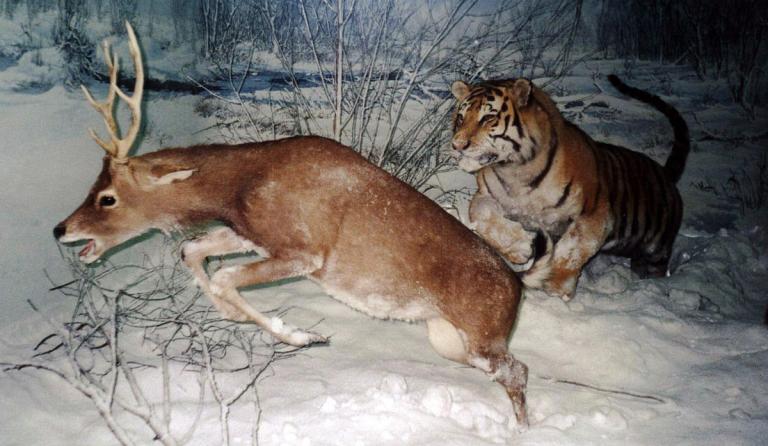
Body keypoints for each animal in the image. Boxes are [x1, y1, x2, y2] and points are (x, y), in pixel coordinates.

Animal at [54, 22, 532, 426]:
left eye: (108, 197)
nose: (61, 229)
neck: (242, 184)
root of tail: (516, 288)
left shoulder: (305, 251)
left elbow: (224, 276)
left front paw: (302, 336)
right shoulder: (251, 233)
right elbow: (192, 251)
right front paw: (237, 315)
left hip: (481, 333)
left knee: (518, 371)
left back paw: (520, 430)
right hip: (447, 339)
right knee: (512, 370)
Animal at [450, 75, 688, 302]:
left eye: (488, 118)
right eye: (460, 118)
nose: (457, 145)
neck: (515, 171)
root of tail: (666, 173)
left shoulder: (595, 216)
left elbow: (570, 251)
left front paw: (555, 291)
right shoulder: (486, 196)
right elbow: (481, 215)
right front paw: (520, 248)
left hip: (655, 252)